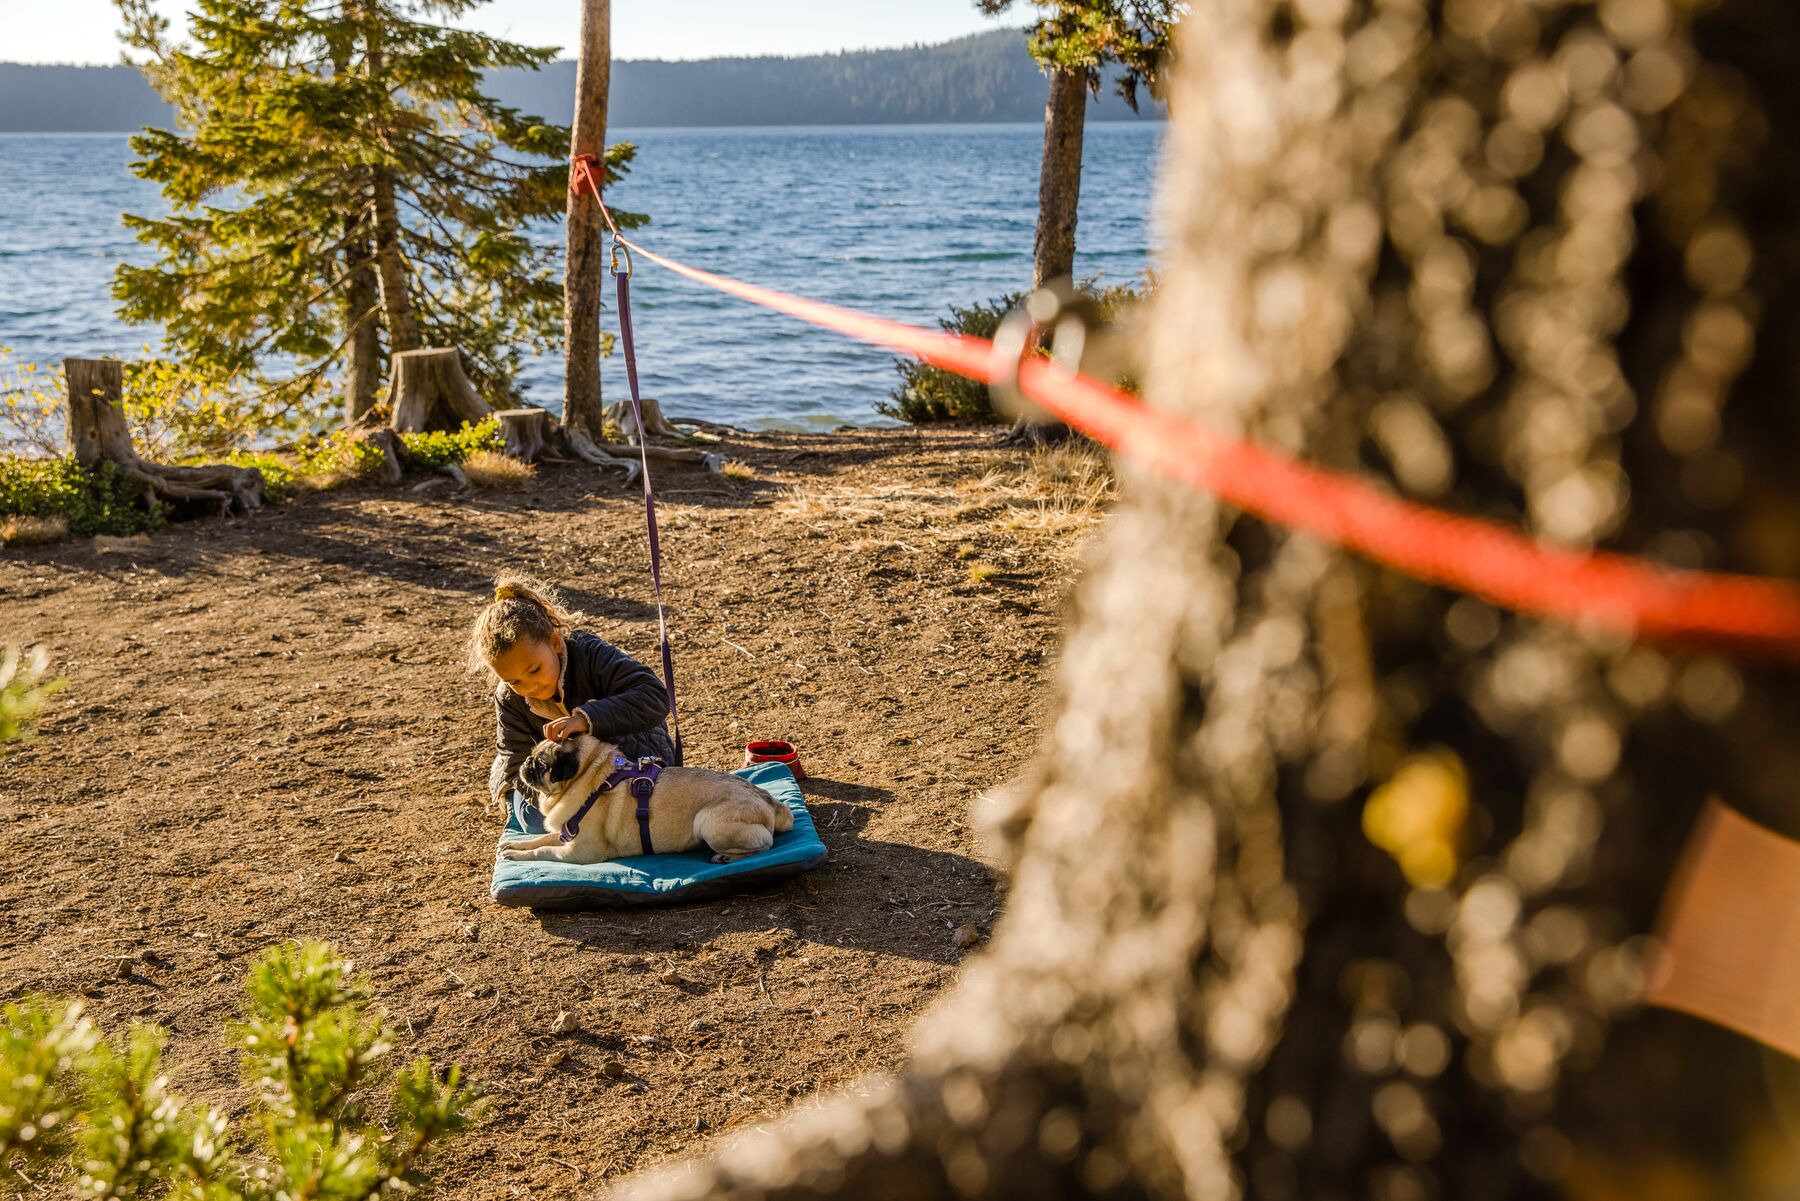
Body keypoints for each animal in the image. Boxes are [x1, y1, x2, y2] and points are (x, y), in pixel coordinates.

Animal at [504, 734, 792, 864]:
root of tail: (770, 802)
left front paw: (518, 856)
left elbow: (543, 851)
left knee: (765, 847)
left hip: (707, 823)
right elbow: (539, 840)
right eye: (532, 756)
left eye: (543, 764)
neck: (588, 776)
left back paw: (726, 858)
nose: (527, 762)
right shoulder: (565, 835)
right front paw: (514, 846)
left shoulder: (580, 853)